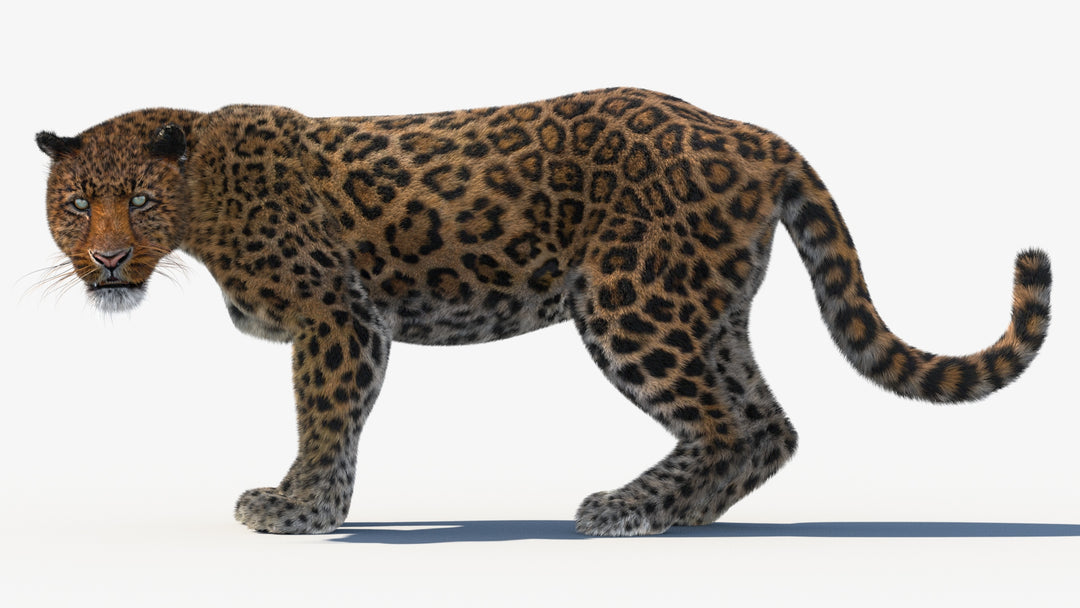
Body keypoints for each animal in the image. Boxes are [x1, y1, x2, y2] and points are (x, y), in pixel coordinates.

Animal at [36, 87, 1052, 536]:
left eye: (138, 200)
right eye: (78, 206)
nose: (110, 259)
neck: (199, 197)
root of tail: (754, 134)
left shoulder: (340, 315)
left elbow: (325, 418)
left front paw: (299, 508)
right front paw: (308, 505)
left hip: (630, 300)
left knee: (726, 421)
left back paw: (623, 509)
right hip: (706, 306)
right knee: (768, 423)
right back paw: (677, 516)